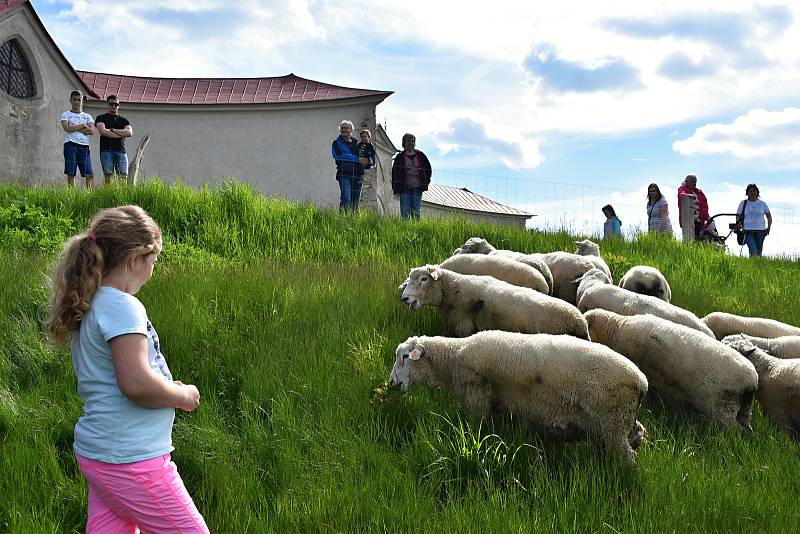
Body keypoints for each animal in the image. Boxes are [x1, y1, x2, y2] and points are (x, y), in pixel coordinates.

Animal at [390, 332, 648, 462]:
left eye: (405, 357)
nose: (392, 383)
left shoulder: (477, 397)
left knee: (627, 459)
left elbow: (476, 429)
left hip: (612, 423)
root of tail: (641, 382)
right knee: (637, 434)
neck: (452, 358)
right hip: (619, 422)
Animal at [584, 310, 760, 436]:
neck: (617, 327)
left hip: (722, 407)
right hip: (744, 408)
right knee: (747, 428)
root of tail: (751, 381)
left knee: (734, 430)